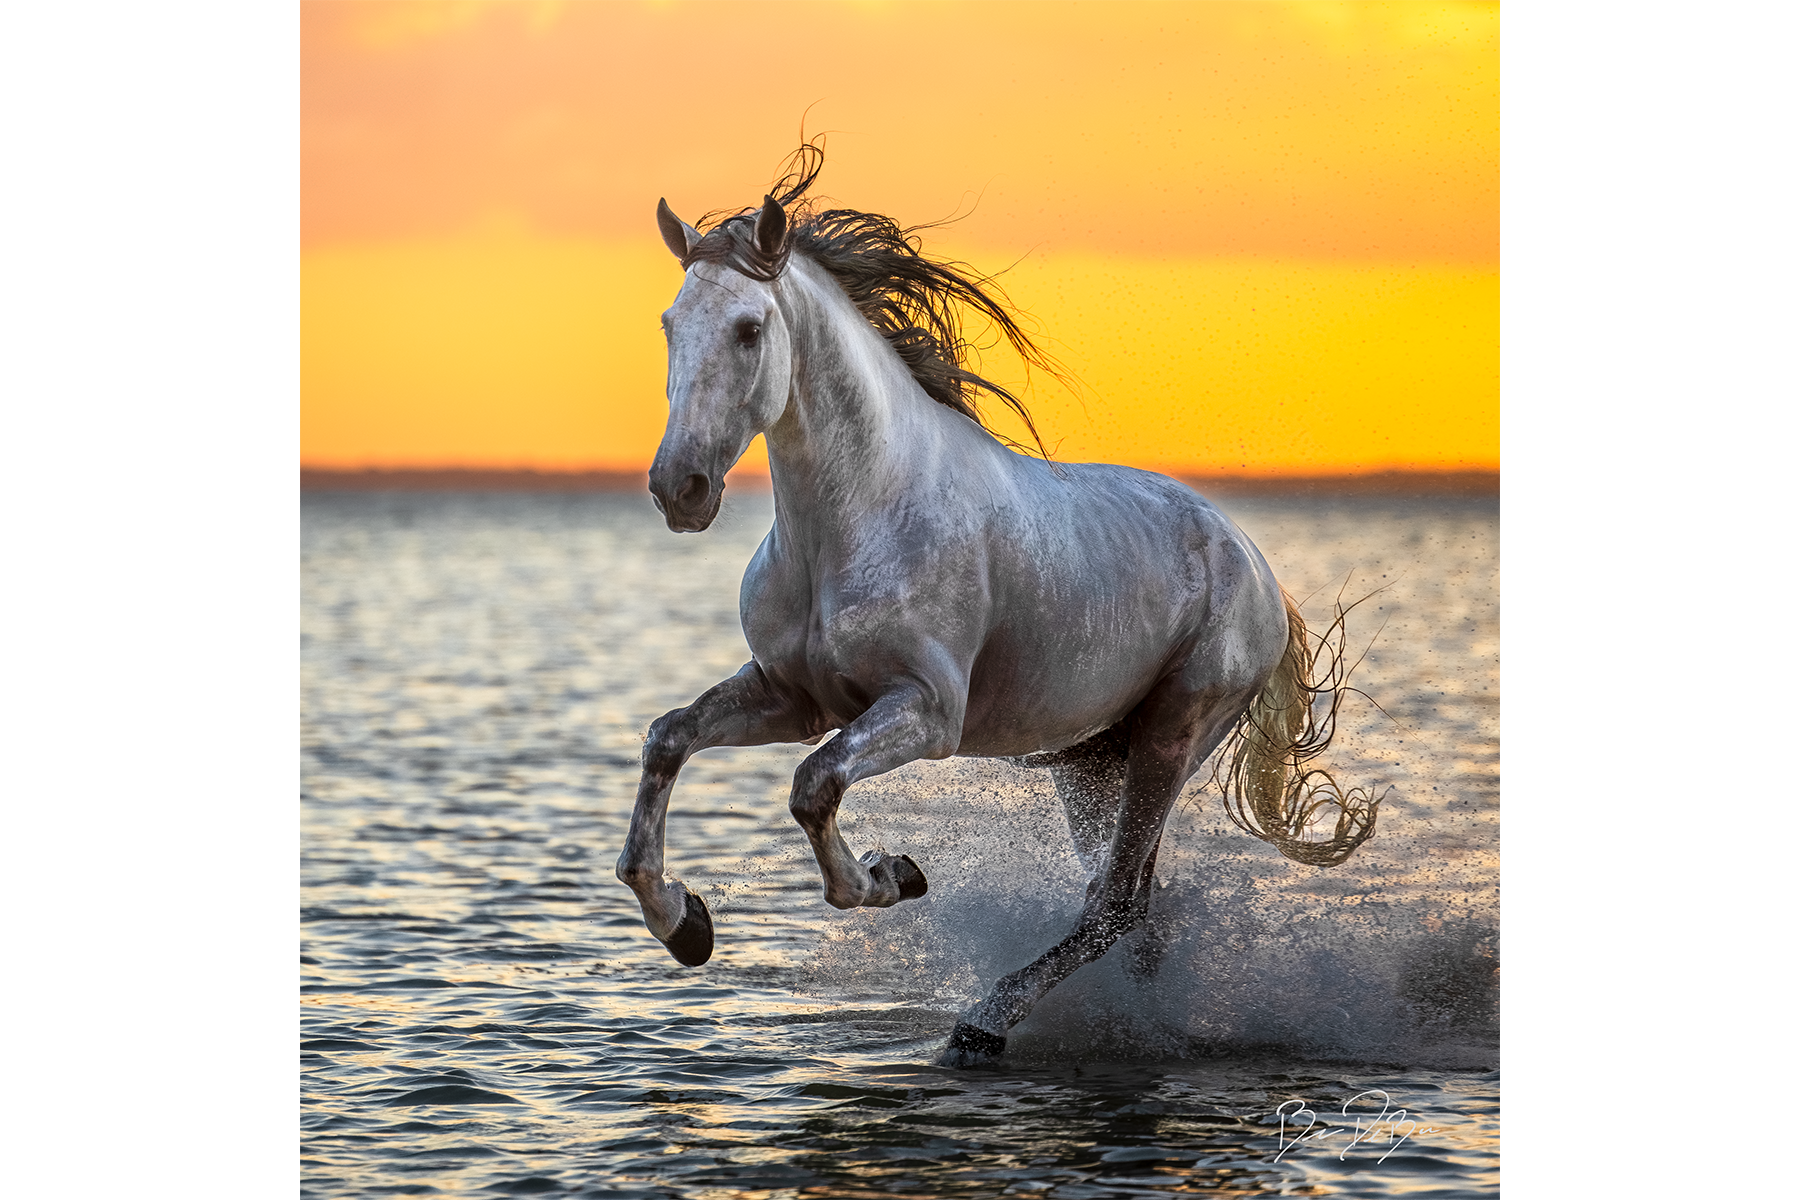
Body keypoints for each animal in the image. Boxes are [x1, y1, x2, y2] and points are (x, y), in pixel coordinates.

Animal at [616, 148, 1381, 1067]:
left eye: (749, 329)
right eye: (669, 323)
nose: (679, 489)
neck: (856, 519)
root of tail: (1260, 571)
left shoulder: (926, 711)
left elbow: (813, 787)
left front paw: (891, 875)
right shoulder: (790, 696)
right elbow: (668, 739)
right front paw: (683, 922)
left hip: (1173, 734)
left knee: (1115, 904)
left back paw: (983, 1021)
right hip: (1094, 763)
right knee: (1134, 913)